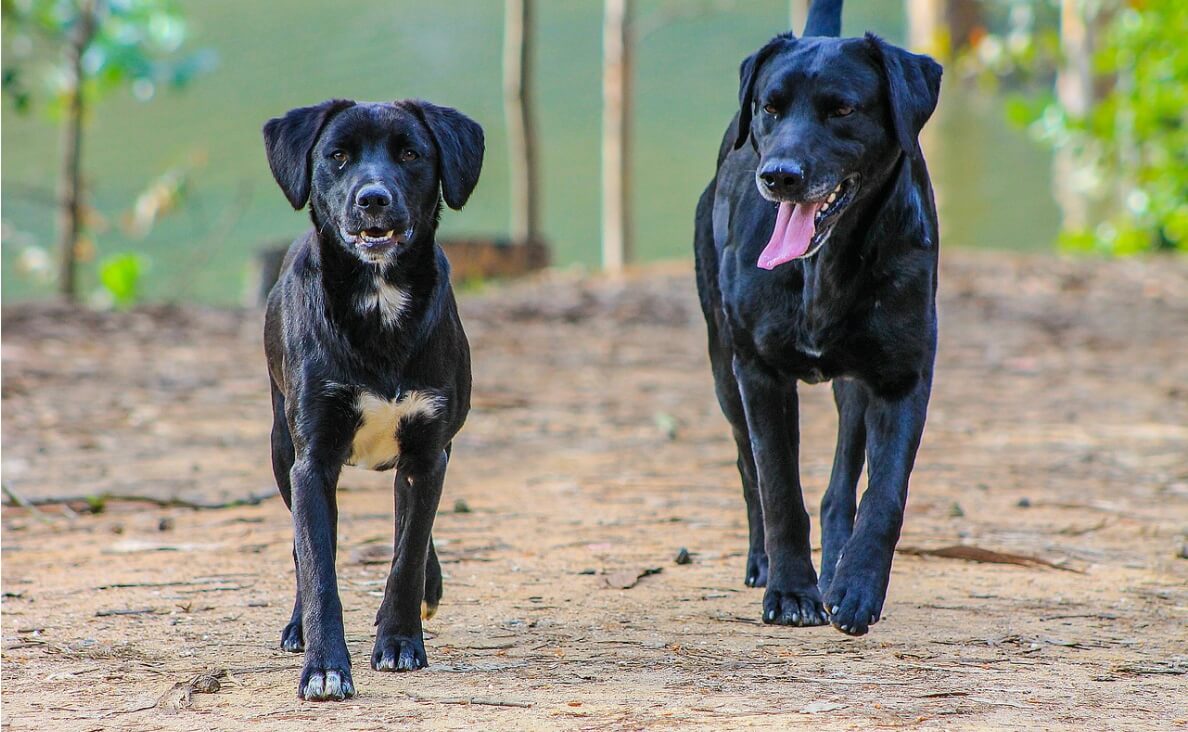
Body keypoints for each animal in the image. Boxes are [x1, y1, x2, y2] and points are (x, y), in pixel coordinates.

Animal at [261, 97, 482, 698]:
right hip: (280, 449)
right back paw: (297, 626)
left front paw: (401, 640)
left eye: (410, 153)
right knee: (304, 549)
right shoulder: (312, 461)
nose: (373, 198)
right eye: (338, 156)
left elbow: (407, 554)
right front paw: (325, 666)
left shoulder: (428, 452)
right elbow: (319, 567)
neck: (379, 299)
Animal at [693, 1, 940, 636]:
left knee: (838, 488)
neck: (823, 266)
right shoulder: (757, 372)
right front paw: (788, 592)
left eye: (843, 109)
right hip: (722, 366)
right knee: (748, 466)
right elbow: (779, 486)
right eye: (770, 108)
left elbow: (885, 495)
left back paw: (834, 570)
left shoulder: (902, 378)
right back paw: (764, 563)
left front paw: (855, 588)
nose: (779, 175)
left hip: (853, 385)